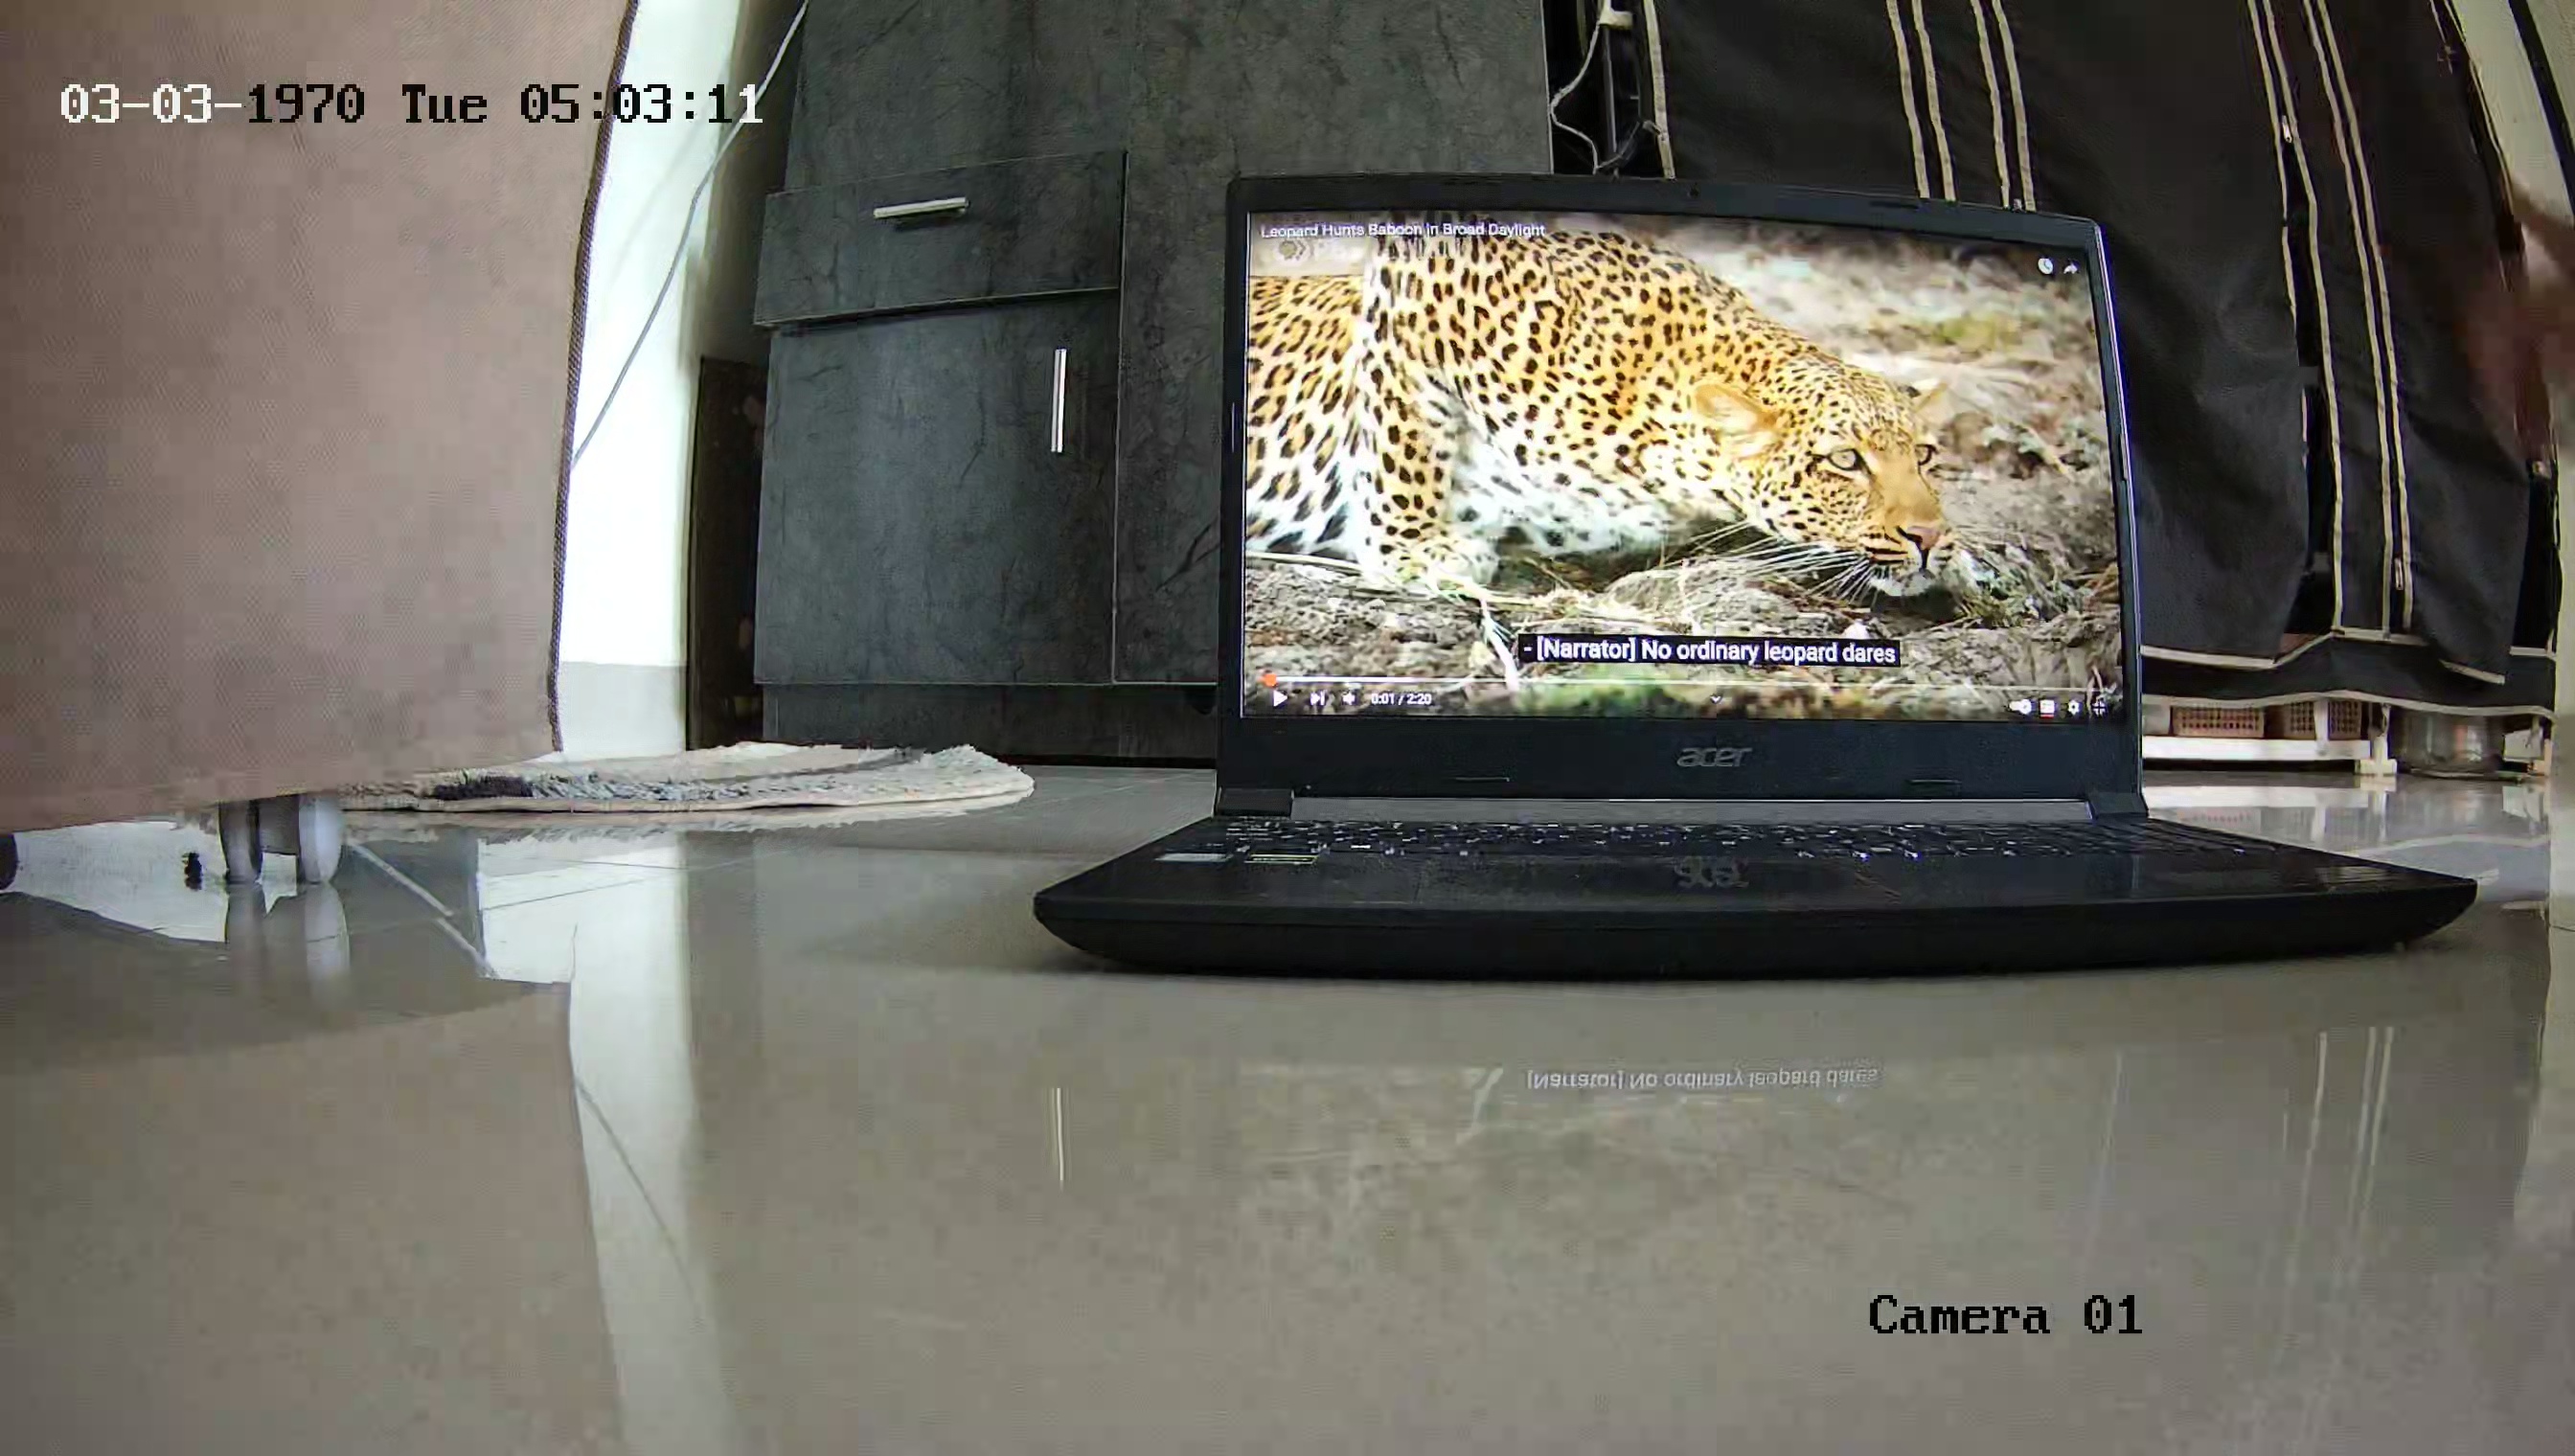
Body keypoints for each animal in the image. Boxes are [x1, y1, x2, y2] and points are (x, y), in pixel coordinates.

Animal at [1241, 224, 1956, 598]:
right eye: (1846, 462)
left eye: (1924, 456)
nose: (1927, 537)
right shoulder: (1423, 280)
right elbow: (1404, 441)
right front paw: (1415, 553)